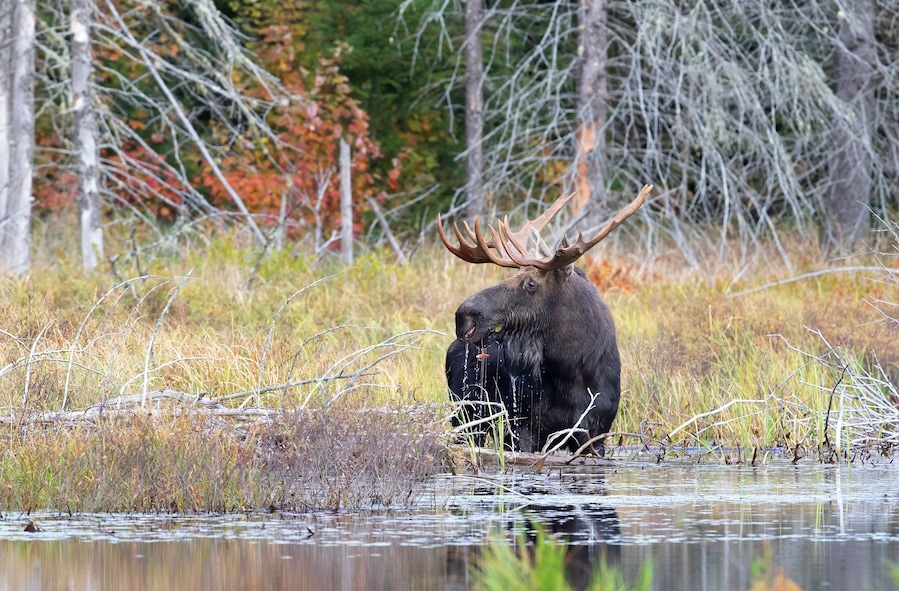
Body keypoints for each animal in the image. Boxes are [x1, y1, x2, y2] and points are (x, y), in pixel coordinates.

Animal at [439, 184, 652, 456]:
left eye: (530, 283)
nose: (464, 316)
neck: (571, 371)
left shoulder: (596, 433)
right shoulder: (523, 427)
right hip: (465, 414)